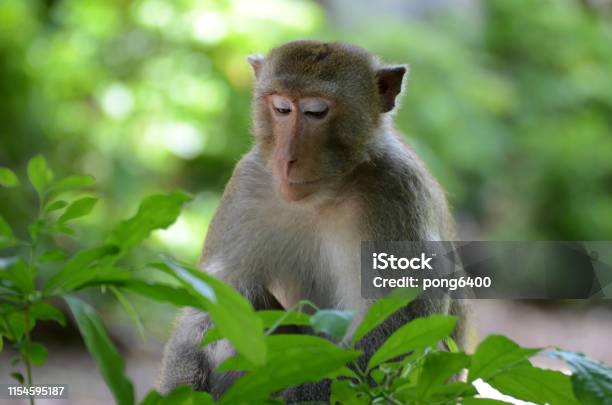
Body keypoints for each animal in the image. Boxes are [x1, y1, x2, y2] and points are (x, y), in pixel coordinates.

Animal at [160, 39, 466, 400]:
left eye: (316, 112)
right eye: (281, 108)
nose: (287, 158)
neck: (326, 194)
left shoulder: (398, 193)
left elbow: (388, 332)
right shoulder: (248, 183)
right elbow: (213, 300)